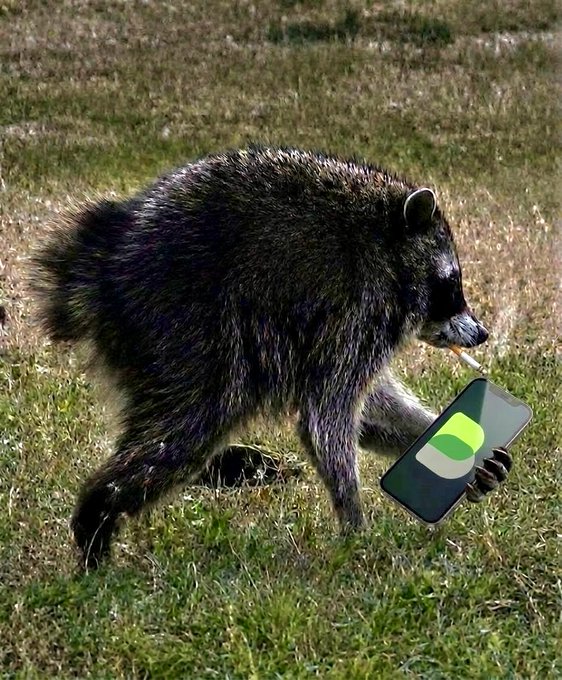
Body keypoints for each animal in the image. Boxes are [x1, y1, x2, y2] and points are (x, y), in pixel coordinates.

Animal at [32, 146, 511, 568]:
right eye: (452, 285)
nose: (482, 333)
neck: (388, 246)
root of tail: (104, 260)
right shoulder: (357, 307)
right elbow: (326, 417)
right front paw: (354, 524)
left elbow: (368, 408)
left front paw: (439, 440)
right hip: (183, 325)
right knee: (186, 430)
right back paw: (98, 514)